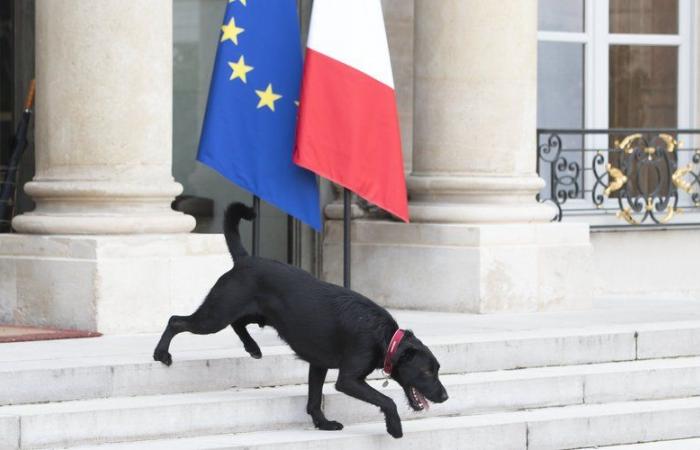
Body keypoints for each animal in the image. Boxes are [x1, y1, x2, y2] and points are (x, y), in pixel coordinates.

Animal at [153, 202, 448, 438]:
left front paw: (323, 424)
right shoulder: (349, 380)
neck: (386, 338)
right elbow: (387, 400)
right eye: (426, 372)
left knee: (238, 324)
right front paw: (394, 427)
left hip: (246, 313)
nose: (445, 396)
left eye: (437, 369)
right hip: (214, 316)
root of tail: (244, 259)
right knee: (176, 321)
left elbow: (314, 400)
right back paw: (161, 354)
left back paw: (253, 348)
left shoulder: (318, 365)